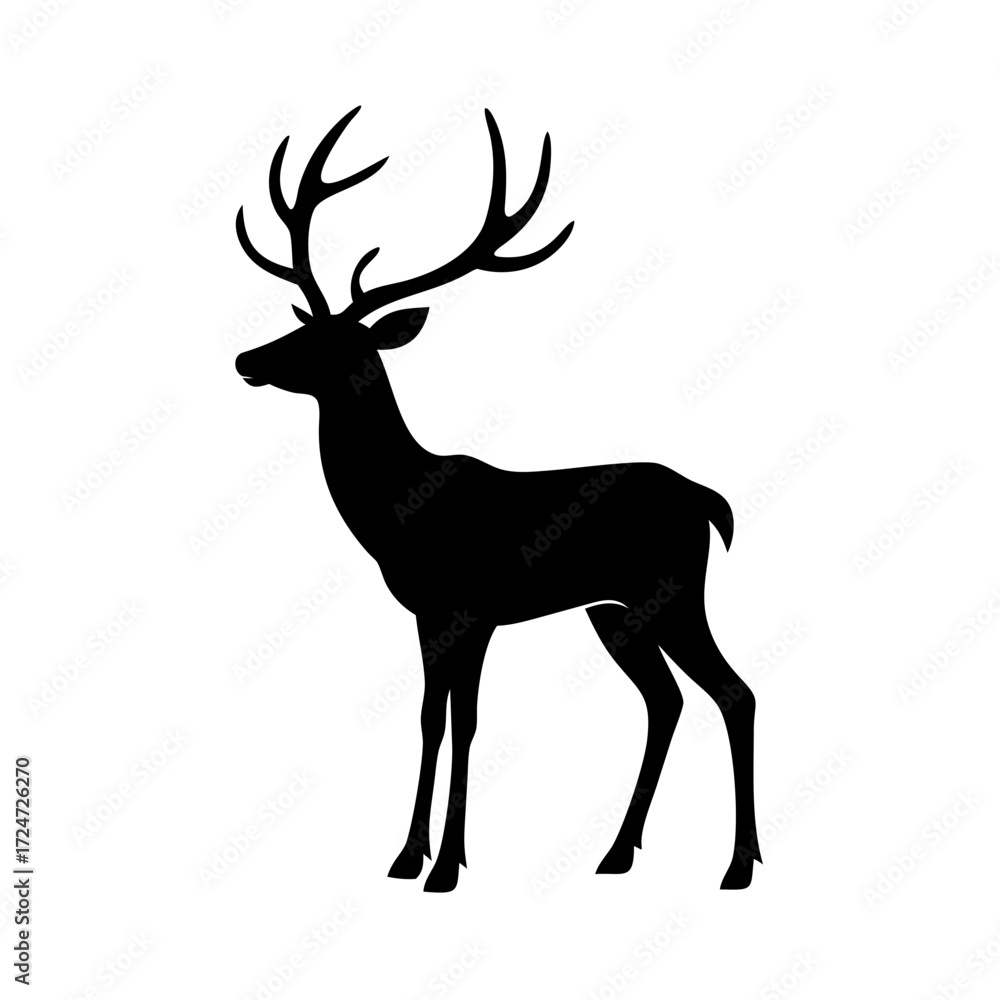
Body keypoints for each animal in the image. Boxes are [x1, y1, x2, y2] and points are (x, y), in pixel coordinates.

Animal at [234, 106, 761, 892]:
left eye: (335, 341)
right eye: (301, 324)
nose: (246, 358)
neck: (398, 511)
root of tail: (708, 501)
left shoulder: (474, 606)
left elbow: (467, 721)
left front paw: (447, 865)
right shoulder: (427, 613)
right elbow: (430, 718)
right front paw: (408, 857)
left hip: (672, 590)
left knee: (733, 692)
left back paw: (737, 865)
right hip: (615, 612)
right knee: (665, 701)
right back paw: (616, 854)